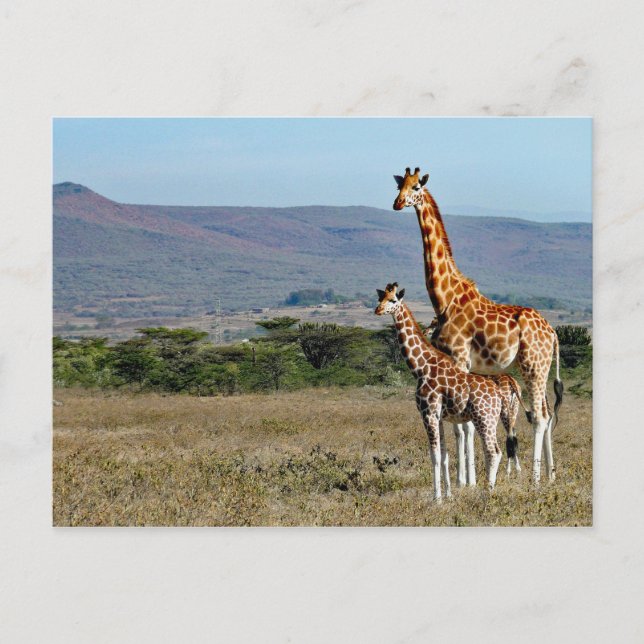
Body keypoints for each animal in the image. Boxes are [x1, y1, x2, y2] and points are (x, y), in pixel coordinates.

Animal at [375, 283, 508, 500]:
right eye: (380, 298)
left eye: (393, 300)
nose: (377, 310)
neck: (421, 367)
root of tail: (498, 395)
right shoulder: (438, 416)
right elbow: (444, 455)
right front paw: (448, 495)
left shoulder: (428, 412)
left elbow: (435, 455)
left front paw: (436, 498)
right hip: (491, 420)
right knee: (494, 450)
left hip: (483, 418)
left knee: (493, 451)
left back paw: (488, 492)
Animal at [393, 167, 563, 484]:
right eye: (399, 186)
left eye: (416, 187)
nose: (397, 203)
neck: (444, 298)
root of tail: (553, 333)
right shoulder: (459, 365)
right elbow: (463, 424)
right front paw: (467, 479)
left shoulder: (460, 358)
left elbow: (463, 426)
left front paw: (464, 481)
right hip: (540, 367)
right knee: (546, 413)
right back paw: (550, 476)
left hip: (532, 365)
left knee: (539, 417)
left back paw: (535, 480)